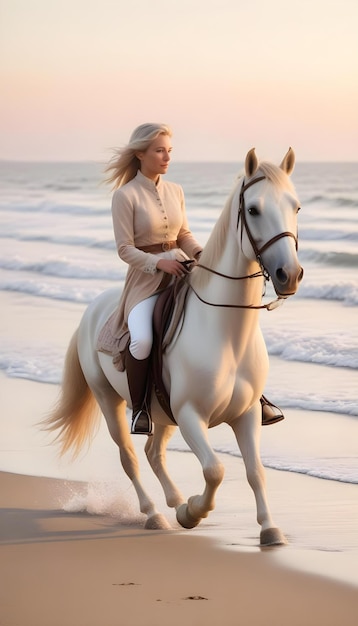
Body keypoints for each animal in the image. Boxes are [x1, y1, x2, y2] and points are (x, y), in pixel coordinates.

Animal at [44, 146, 302, 540]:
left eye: (296, 207)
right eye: (254, 210)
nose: (290, 275)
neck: (226, 335)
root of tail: (93, 309)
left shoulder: (246, 416)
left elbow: (255, 471)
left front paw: (270, 529)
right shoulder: (191, 415)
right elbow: (215, 470)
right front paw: (193, 512)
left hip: (162, 413)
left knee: (153, 452)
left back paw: (173, 501)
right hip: (110, 400)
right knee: (130, 457)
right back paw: (156, 513)